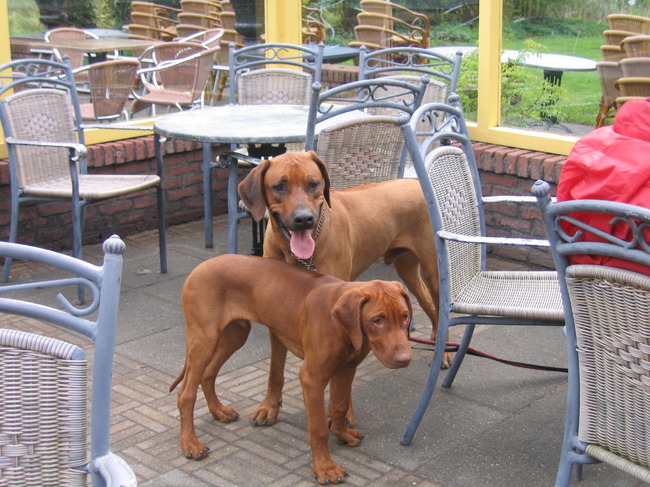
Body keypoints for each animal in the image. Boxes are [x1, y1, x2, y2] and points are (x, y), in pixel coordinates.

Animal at [170, 254, 412, 484]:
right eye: (377, 320)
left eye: (405, 316)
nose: (405, 359)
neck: (343, 327)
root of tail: (200, 267)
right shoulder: (312, 378)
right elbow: (318, 428)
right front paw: (325, 468)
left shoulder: (346, 369)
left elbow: (339, 406)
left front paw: (342, 434)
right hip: (204, 338)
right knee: (186, 393)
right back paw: (191, 444)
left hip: (235, 334)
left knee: (207, 374)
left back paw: (219, 411)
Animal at [237, 151, 443, 428]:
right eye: (279, 186)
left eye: (314, 184)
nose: (304, 219)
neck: (299, 256)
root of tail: (417, 184)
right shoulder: (277, 316)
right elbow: (275, 369)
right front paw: (269, 406)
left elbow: (343, 378)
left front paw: (343, 415)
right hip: (407, 268)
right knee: (428, 304)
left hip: (434, 270)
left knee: (440, 308)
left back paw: (444, 355)